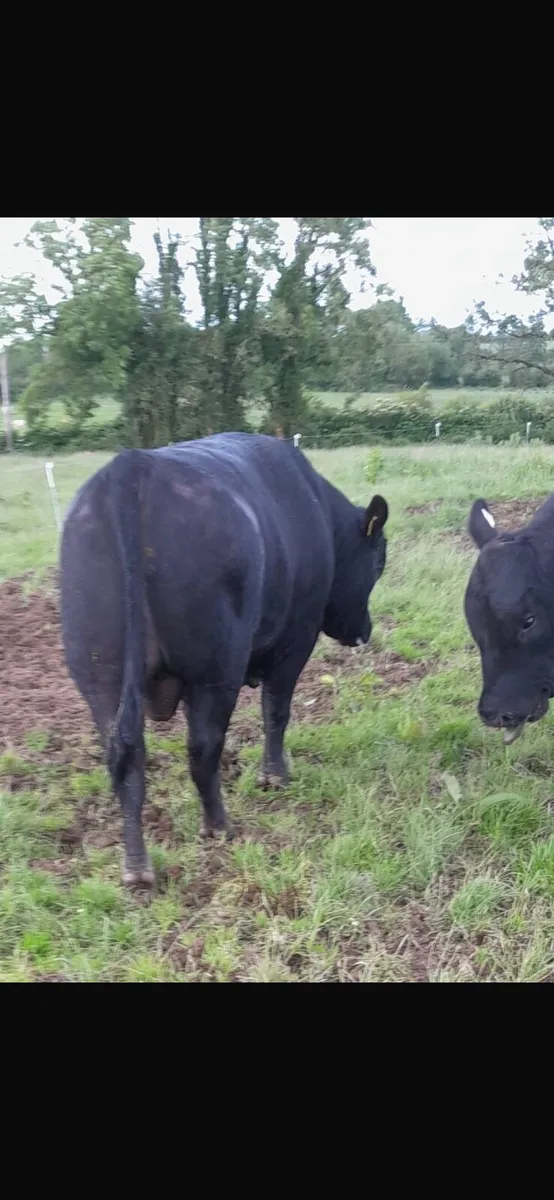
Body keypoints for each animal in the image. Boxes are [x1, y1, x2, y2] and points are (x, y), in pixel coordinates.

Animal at [60, 432, 389, 887]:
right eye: (378, 564)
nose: (364, 632)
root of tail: (131, 468)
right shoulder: (295, 640)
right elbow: (276, 711)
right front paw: (274, 776)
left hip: (100, 674)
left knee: (125, 758)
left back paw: (137, 867)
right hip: (216, 670)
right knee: (202, 748)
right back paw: (218, 827)